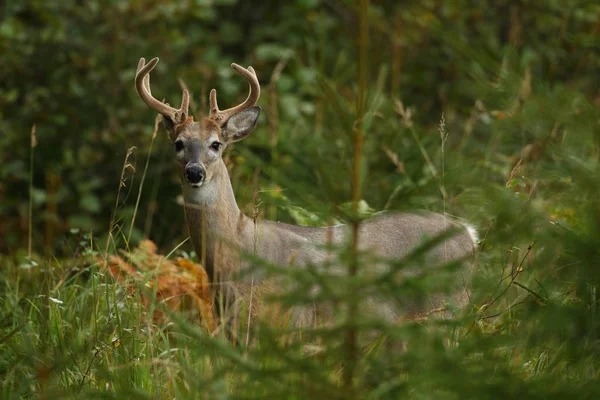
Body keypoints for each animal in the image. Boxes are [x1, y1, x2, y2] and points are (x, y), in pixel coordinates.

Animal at [135, 56, 478, 338]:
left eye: (216, 144)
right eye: (178, 143)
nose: (194, 172)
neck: (236, 257)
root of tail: (469, 233)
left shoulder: (291, 320)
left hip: (446, 306)